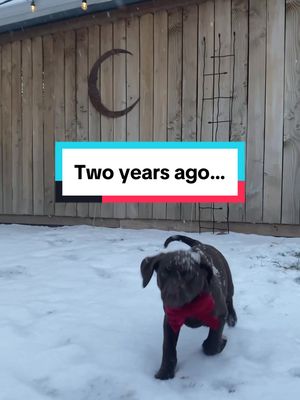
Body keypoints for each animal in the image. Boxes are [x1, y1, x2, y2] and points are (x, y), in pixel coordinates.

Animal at [140, 236, 237, 380]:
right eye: (164, 273)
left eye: (189, 274)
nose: (171, 295)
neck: (190, 305)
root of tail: (200, 243)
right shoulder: (170, 320)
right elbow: (168, 346)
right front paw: (165, 372)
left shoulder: (220, 315)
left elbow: (212, 345)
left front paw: (219, 343)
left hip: (229, 283)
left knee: (230, 299)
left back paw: (232, 318)